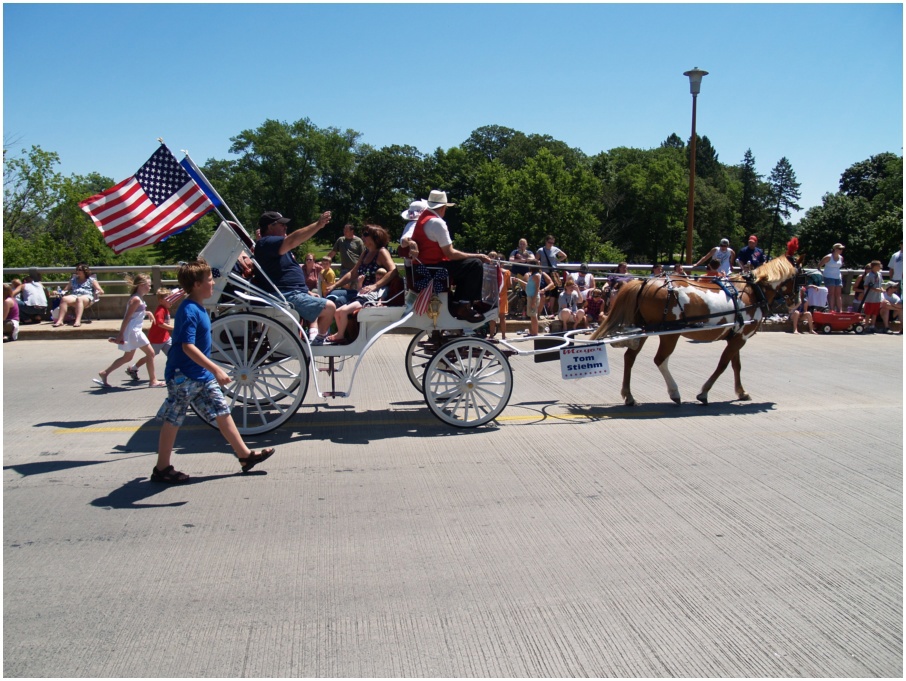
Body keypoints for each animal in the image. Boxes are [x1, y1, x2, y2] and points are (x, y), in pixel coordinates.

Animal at [589, 257, 798, 405]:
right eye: (800, 276)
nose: (795, 301)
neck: (753, 291)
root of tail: (644, 283)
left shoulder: (736, 336)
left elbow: (736, 365)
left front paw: (741, 392)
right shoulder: (741, 337)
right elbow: (723, 365)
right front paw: (704, 393)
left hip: (643, 330)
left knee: (630, 357)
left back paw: (629, 395)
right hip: (669, 334)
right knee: (660, 359)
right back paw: (674, 392)